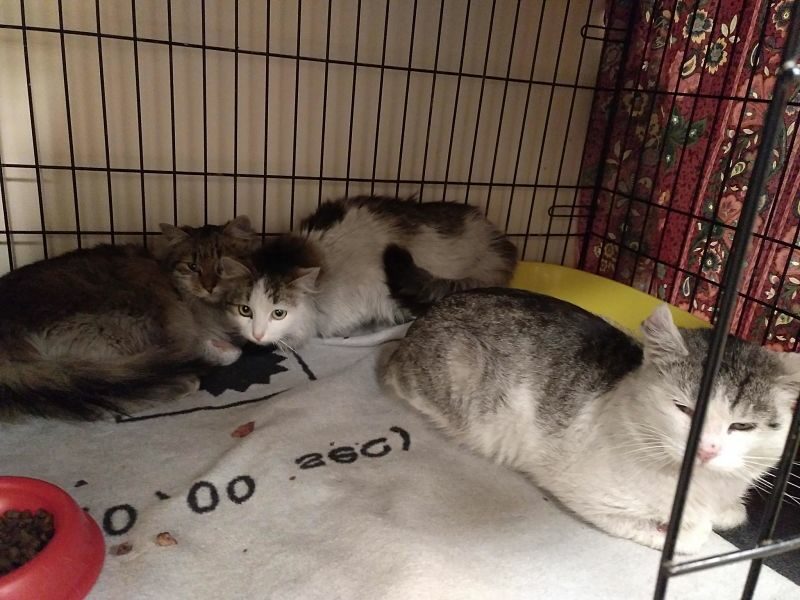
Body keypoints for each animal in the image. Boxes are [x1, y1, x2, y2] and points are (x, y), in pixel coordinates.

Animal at [379, 288, 800, 554]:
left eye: (742, 426)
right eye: (684, 409)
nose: (707, 449)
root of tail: (423, 319)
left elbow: (728, 513)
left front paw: (726, 512)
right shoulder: (586, 494)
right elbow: (692, 535)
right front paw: (680, 529)